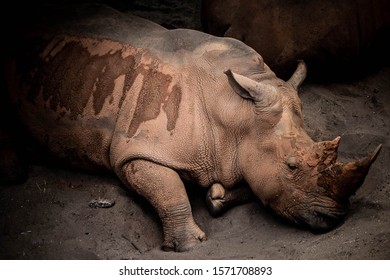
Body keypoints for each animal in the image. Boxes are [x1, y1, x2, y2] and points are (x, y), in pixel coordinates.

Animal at [2, 3, 380, 252]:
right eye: (291, 166)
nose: (334, 219)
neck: (236, 112)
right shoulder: (137, 151)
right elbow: (169, 190)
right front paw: (189, 245)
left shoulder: (243, 151)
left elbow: (251, 180)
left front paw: (216, 195)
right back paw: (14, 172)